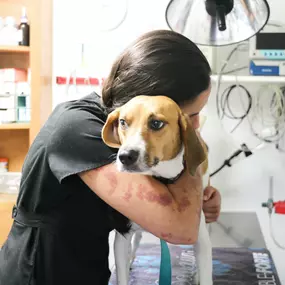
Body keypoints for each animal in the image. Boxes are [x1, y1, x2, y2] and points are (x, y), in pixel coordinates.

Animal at [101, 95, 211, 284]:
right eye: (122, 122)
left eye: (156, 123)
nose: (125, 156)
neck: (161, 179)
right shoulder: (122, 236)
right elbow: (122, 273)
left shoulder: (202, 240)